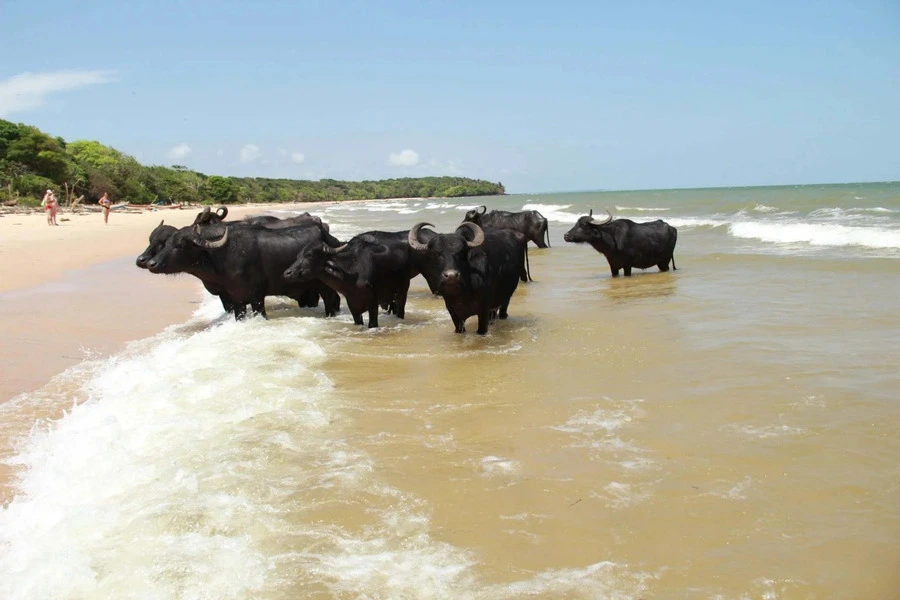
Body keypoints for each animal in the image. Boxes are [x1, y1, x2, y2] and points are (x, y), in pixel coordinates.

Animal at [146, 223, 342, 322]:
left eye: (180, 245)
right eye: (165, 244)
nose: (151, 263)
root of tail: (332, 240)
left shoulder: (256, 297)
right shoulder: (236, 300)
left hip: (323, 286)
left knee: (331, 300)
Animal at [284, 232, 420, 330]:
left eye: (309, 255)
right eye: (298, 255)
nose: (287, 273)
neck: (352, 275)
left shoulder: (373, 304)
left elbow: (372, 324)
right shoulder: (353, 306)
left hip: (402, 292)